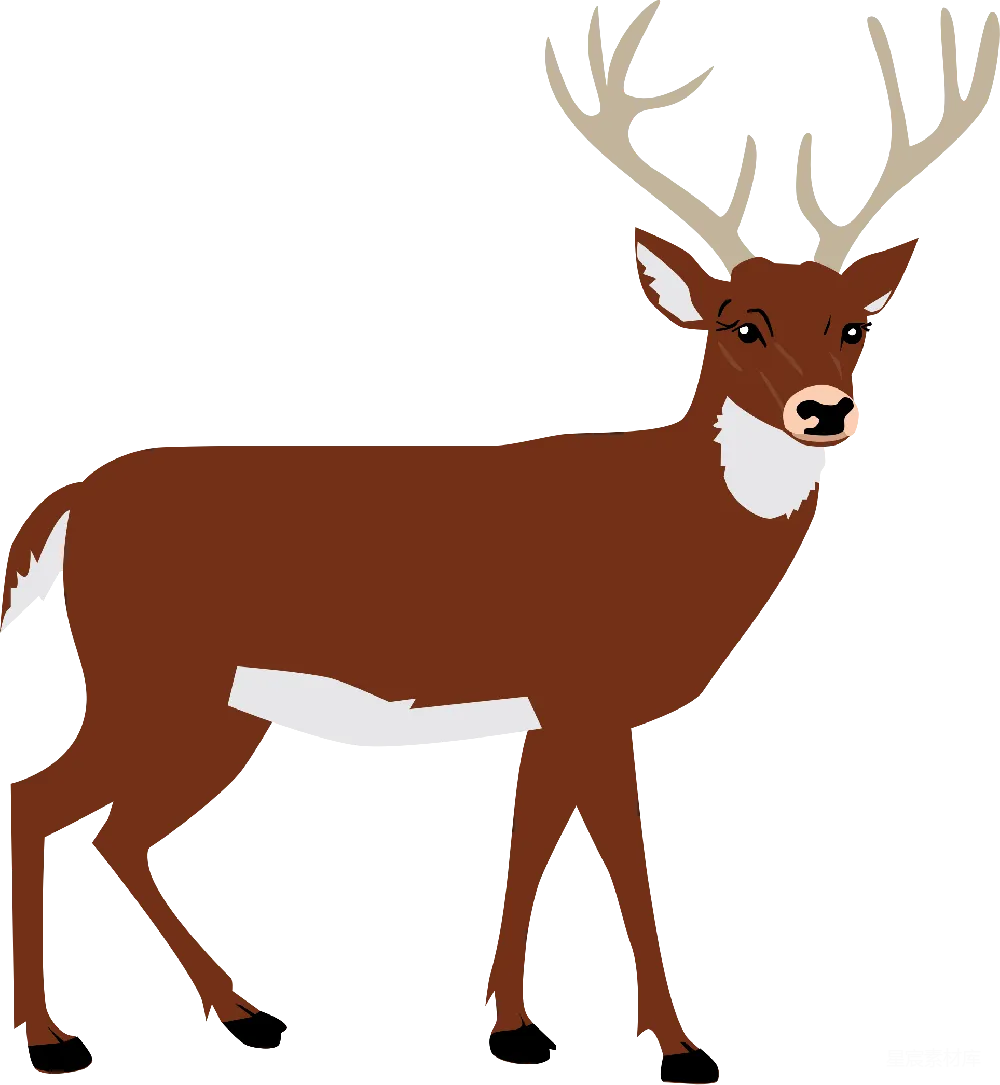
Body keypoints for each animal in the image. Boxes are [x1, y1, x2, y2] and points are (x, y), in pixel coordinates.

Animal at [5, 1, 998, 1080]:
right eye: (741, 324)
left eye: (855, 326)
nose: (827, 410)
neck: (672, 529)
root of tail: (69, 504)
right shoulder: (587, 686)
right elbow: (623, 856)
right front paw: (677, 1043)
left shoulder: (545, 709)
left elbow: (529, 842)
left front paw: (510, 1025)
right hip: (153, 675)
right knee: (40, 799)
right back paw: (54, 1039)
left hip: (215, 705)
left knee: (114, 832)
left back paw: (241, 1013)